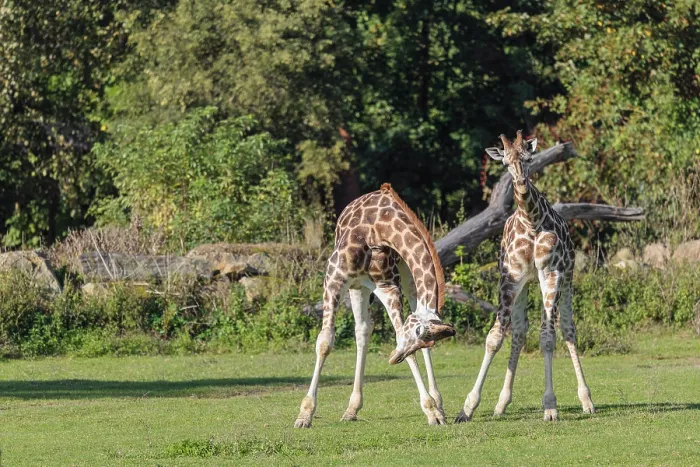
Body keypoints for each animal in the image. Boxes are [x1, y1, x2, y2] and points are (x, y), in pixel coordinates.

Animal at [294, 183, 456, 428]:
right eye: (417, 333)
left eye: (422, 337)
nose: (394, 358)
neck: (378, 230)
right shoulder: (333, 278)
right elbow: (324, 342)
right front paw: (304, 415)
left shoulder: (388, 287)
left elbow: (401, 337)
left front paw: (433, 411)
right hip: (357, 286)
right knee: (362, 329)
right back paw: (351, 409)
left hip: (403, 280)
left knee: (367, 326)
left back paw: (437, 402)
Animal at [455, 131, 594, 423]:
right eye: (505, 163)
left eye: (529, 159)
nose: (520, 184)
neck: (531, 222)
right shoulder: (510, 278)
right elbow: (495, 336)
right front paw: (467, 408)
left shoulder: (551, 273)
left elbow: (548, 338)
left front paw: (550, 407)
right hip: (524, 286)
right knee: (519, 331)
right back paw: (501, 404)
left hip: (566, 279)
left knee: (568, 330)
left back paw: (587, 400)